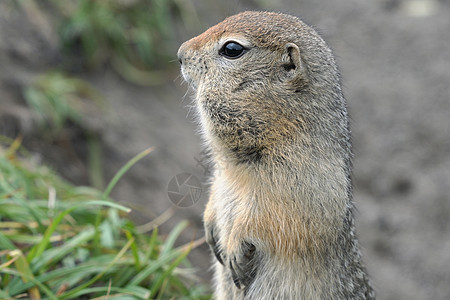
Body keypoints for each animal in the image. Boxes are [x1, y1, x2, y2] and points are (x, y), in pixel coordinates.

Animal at [178, 10, 374, 298]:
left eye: (232, 49)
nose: (180, 53)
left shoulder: (301, 183)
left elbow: (271, 218)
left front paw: (235, 250)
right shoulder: (222, 174)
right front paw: (210, 229)